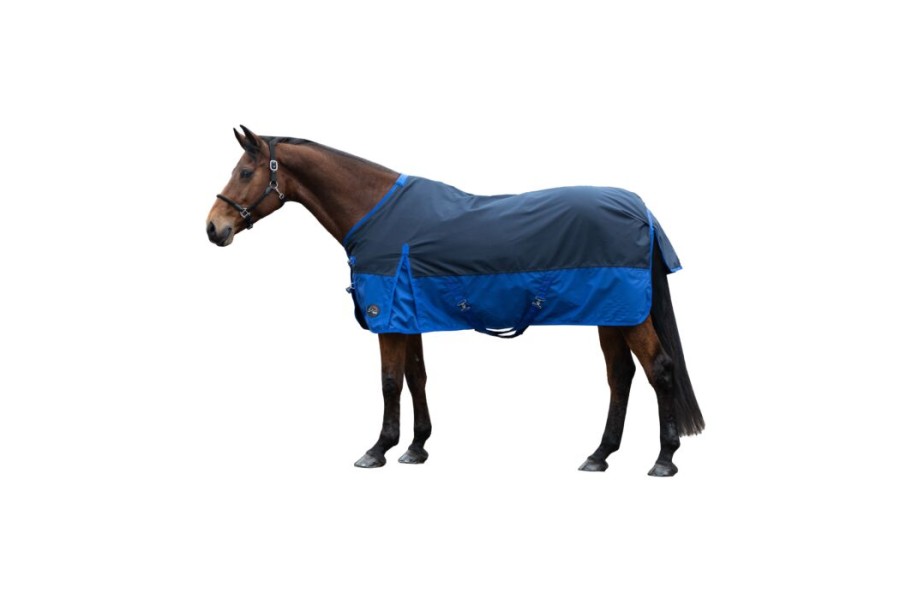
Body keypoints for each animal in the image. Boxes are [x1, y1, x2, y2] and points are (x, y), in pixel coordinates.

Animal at [206, 126, 704, 476]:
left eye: (245, 172)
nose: (214, 227)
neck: (376, 212)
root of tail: (640, 209)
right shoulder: (408, 317)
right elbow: (416, 377)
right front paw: (416, 447)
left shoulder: (388, 317)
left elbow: (390, 382)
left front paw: (378, 449)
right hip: (612, 314)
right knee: (620, 376)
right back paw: (599, 455)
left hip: (627, 316)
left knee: (659, 371)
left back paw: (664, 459)